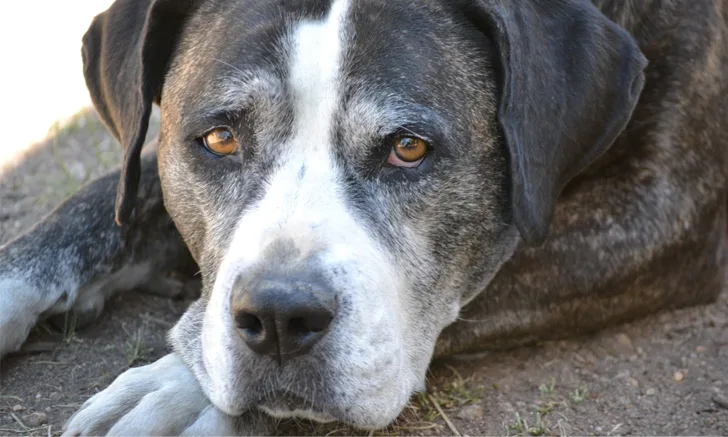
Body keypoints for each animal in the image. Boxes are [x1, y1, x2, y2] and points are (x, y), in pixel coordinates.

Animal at [0, 0, 724, 432]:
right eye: (220, 139)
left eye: (409, 147)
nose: (279, 319)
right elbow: (107, 199)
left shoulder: (659, 216)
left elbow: (485, 283)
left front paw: (176, 391)